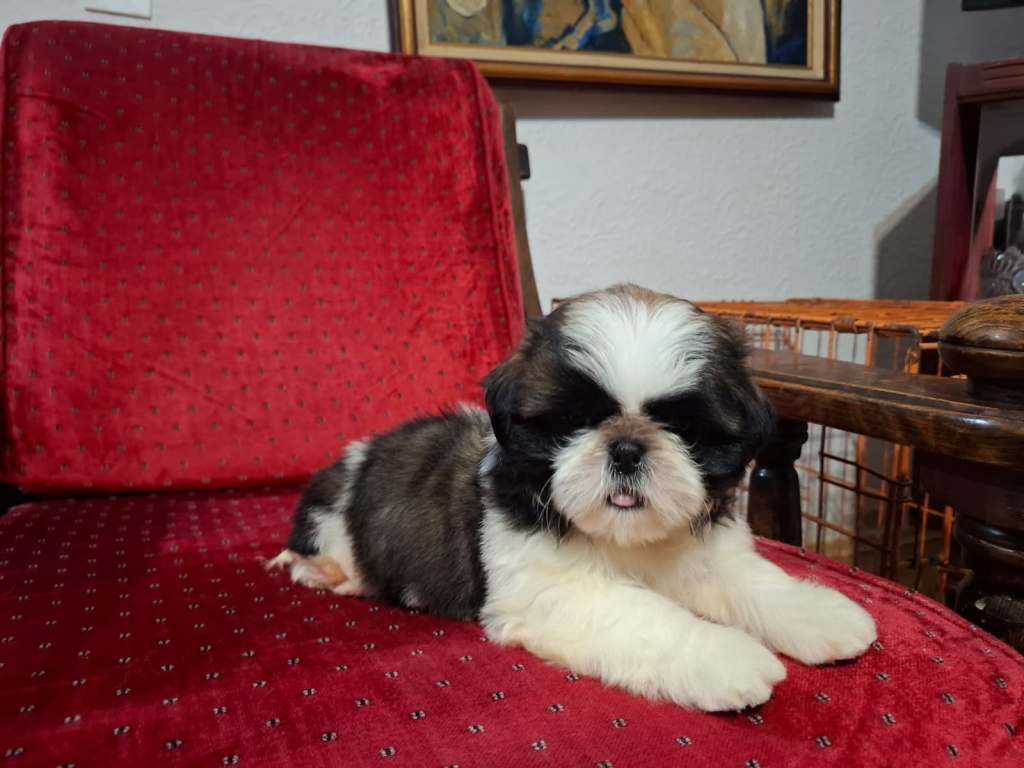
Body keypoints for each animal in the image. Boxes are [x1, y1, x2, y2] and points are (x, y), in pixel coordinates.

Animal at [268, 284, 876, 711]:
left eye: (683, 428)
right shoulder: (550, 590)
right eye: (575, 422)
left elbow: (758, 583)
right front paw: (725, 656)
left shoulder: (708, 555)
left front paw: (820, 613)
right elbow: (649, 616)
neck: (626, 541)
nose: (627, 449)